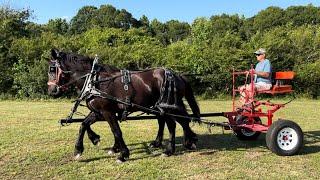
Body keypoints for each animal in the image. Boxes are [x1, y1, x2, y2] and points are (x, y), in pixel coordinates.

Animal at [47, 48, 200, 162]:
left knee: (176, 123)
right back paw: (182, 142)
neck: (94, 81)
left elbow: (116, 131)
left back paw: (173, 148)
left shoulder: (107, 112)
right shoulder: (98, 112)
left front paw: (123, 154)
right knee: (175, 122)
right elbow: (83, 124)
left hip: (168, 106)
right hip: (162, 107)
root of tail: (177, 75)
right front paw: (83, 147)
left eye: (52, 69)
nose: (51, 90)